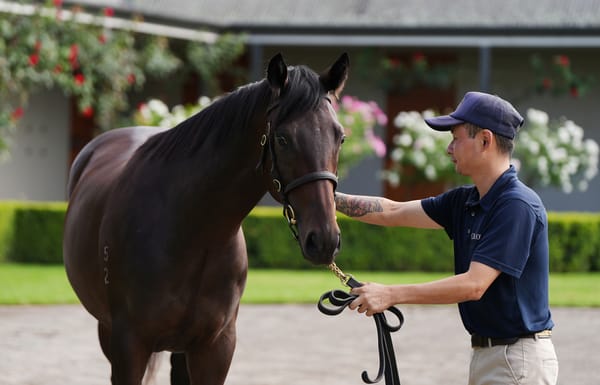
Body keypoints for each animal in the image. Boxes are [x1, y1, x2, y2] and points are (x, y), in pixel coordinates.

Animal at [62, 54, 346, 384]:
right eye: (283, 138)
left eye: (340, 137)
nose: (324, 239)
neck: (191, 233)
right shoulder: (128, 345)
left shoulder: (215, 347)